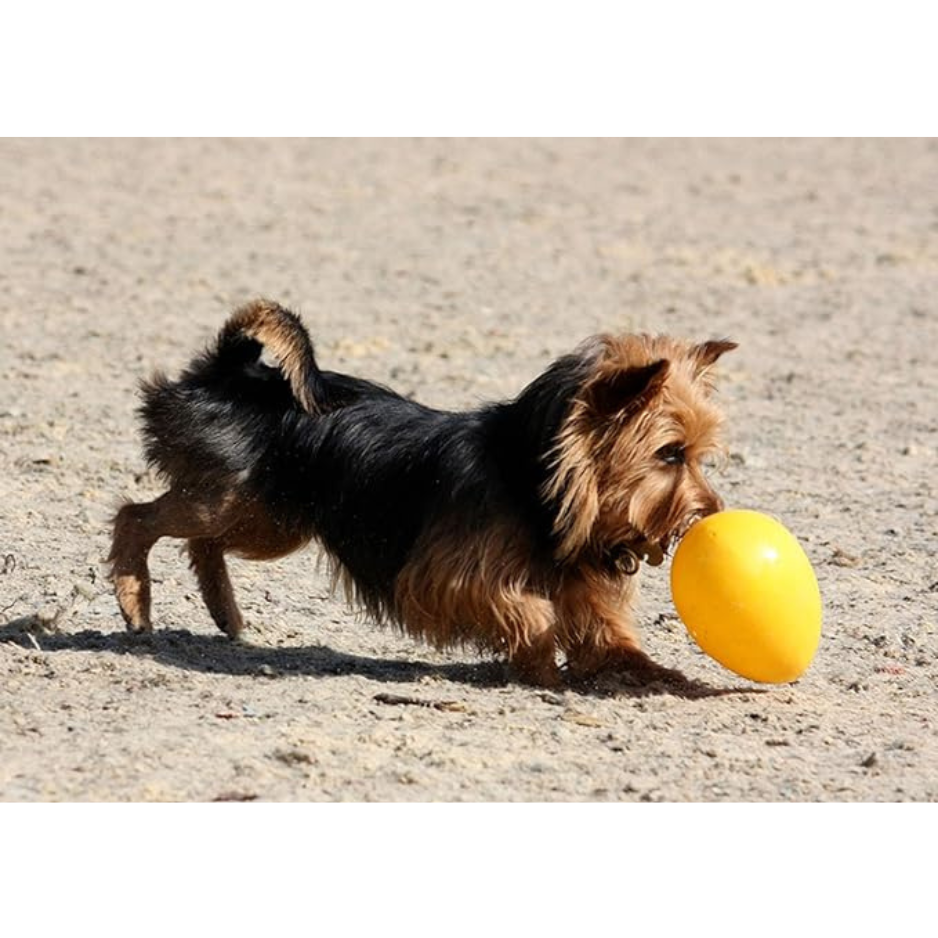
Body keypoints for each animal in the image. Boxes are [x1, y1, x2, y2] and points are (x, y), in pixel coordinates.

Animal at [109, 302, 736, 688]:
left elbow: (614, 643)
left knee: (204, 545)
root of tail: (226, 373)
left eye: (699, 455)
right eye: (670, 454)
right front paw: (539, 667)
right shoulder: (444, 578)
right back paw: (135, 601)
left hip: (271, 520)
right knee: (136, 517)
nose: (713, 512)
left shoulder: (587, 598)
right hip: (232, 502)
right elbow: (531, 612)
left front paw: (661, 676)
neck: (530, 482)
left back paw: (225, 612)